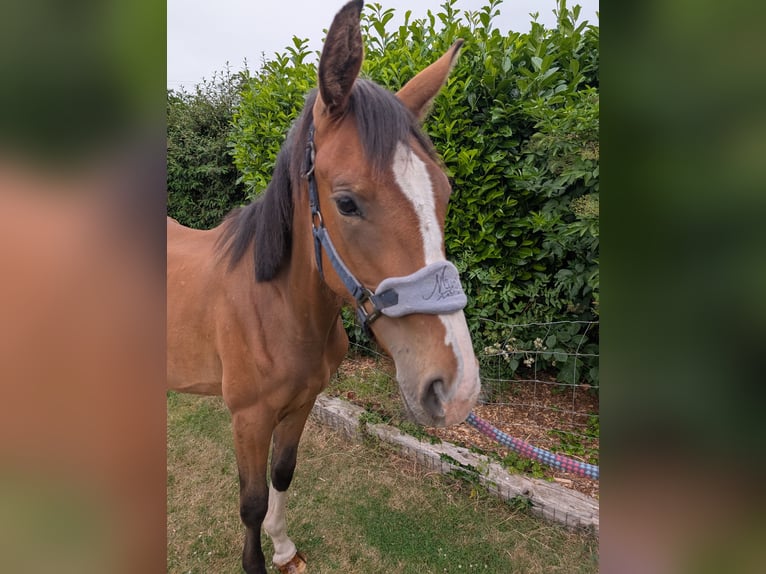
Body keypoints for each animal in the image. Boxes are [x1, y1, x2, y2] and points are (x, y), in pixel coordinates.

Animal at [167, 1, 480, 572]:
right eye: (347, 202)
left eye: (445, 192)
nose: (457, 387)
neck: (275, 308)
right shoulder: (248, 419)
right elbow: (250, 501)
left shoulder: (302, 404)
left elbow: (283, 474)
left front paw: (284, 547)